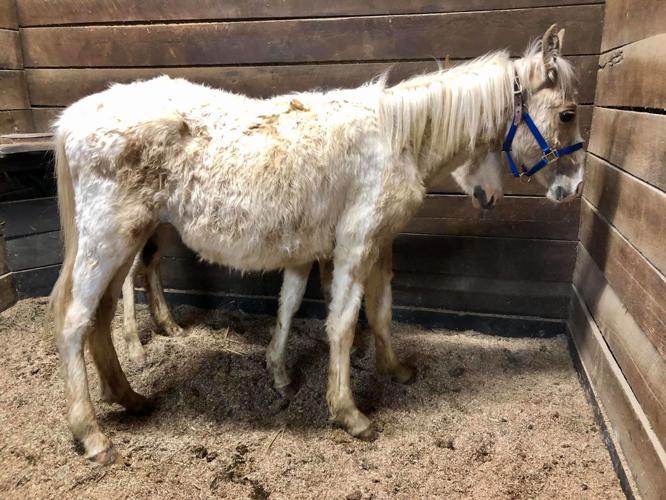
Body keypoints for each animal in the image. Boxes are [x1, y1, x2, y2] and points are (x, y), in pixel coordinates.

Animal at [49, 24, 584, 464]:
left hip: (127, 241)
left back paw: (130, 398)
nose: (572, 188)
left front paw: (388, 370)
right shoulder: (354, 247)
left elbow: (368, 311)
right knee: (76, 322)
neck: (397, 138)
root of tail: (73, 118)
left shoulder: (366, 246)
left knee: (99, 319)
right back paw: (92, 436)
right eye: (568, 113)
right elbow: (342, 325)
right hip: (109, 240)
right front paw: (349, 413)